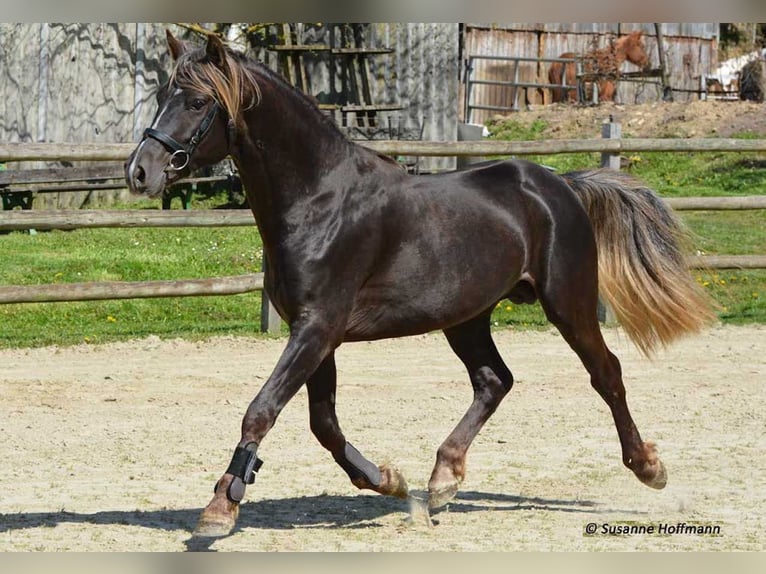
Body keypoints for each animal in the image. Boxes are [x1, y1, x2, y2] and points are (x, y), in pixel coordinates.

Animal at [123, 32, 716, 540]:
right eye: (163, 95)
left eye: (197, 102)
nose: (139, 171)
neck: (319, 199)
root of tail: (559, 185)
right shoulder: (317, 334)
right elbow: (323, 424)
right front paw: (389, 480)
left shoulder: (317, 329)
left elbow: (263, 409)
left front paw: (220, 507)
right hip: (467, 317)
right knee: (494, 381)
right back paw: (442, 480)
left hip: (567, 304)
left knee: (605, 373)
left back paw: (649, 468)